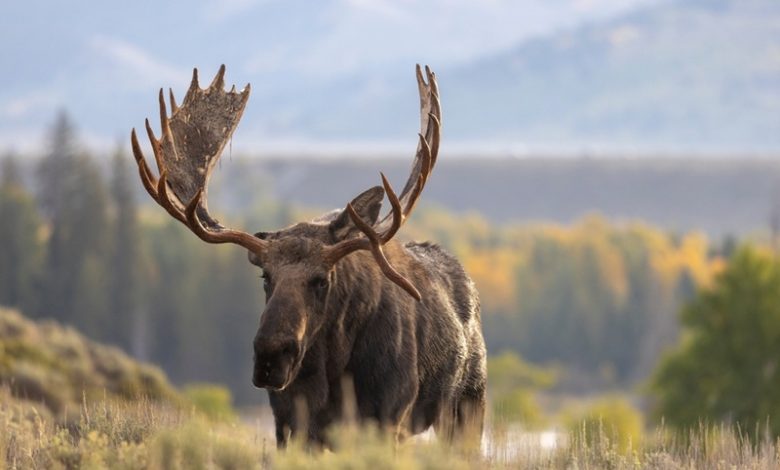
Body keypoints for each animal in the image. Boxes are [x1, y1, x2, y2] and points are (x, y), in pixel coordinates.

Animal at [130, 64, 487, 448]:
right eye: (265, 276)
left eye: (321, 280)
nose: (270, 357)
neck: (333, 374)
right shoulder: (289, 425)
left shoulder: (388, 418)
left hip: (467, 403)